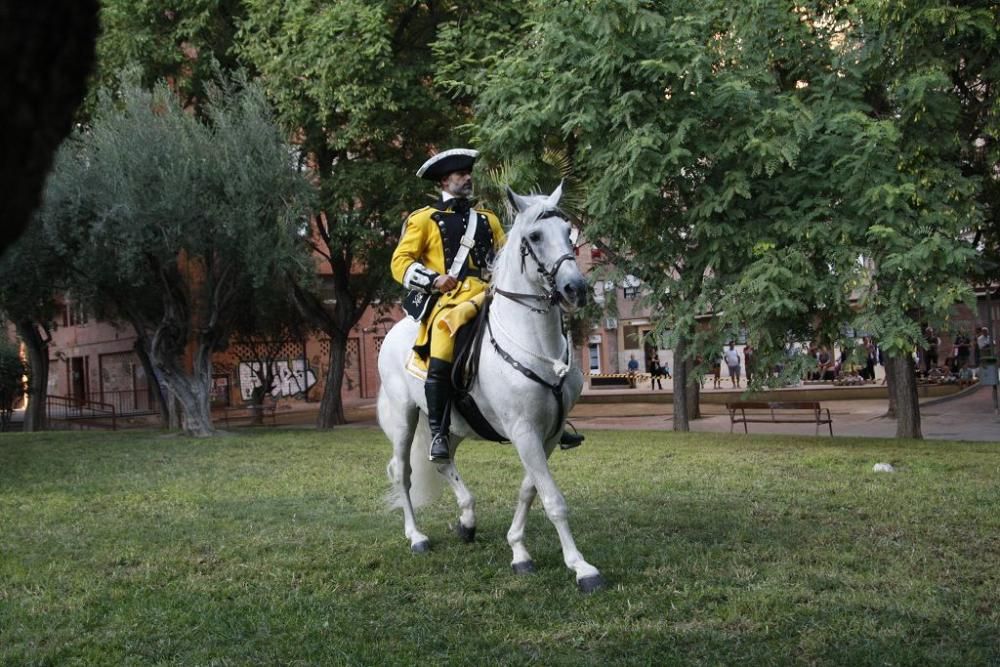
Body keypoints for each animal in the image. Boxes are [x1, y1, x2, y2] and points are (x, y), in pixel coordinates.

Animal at [378, 184, 604, 596]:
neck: (536, 344)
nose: (575, 289)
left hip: (452, 423)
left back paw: (467, 519)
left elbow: (530, 489)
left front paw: (518, 550)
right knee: (403, 472)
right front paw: (581, 567)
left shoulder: (547, 434)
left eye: (568, 231)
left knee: (443, 458)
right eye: (535, 236)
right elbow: (552, 498)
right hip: (404, 419)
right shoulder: (523, 431)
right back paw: (416, 536)